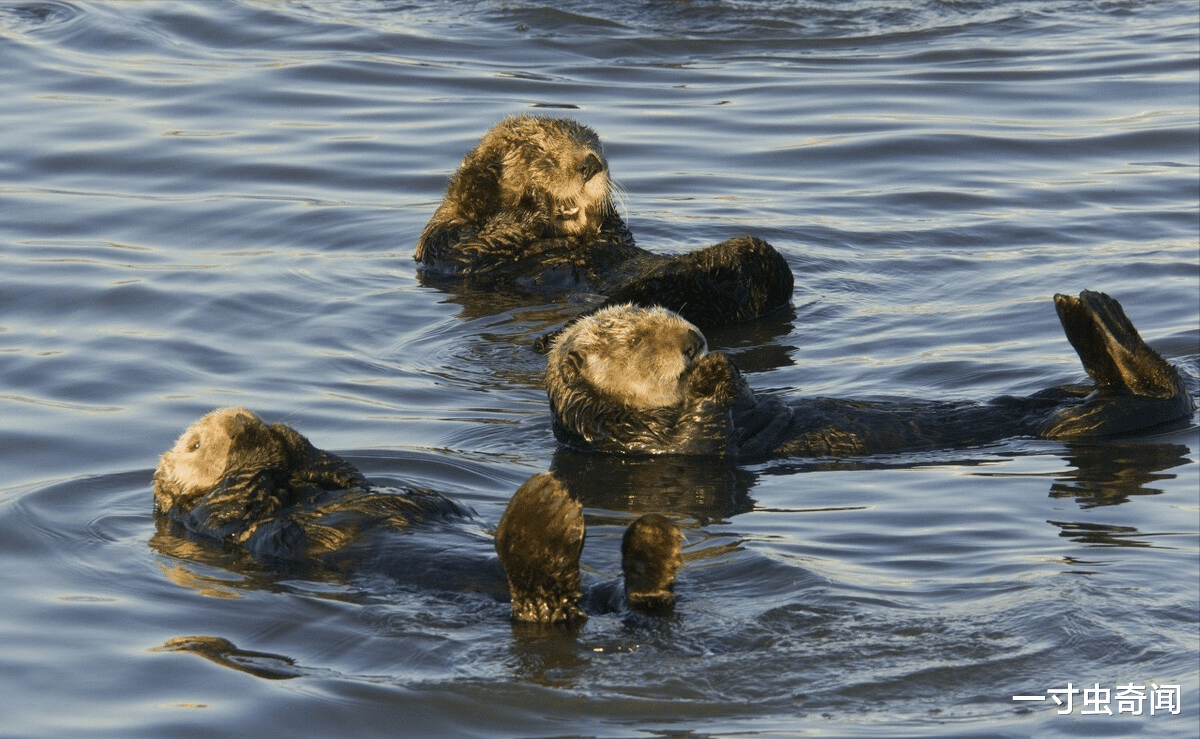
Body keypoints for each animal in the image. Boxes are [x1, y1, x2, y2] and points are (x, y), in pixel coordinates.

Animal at [157, 410, 686, 623]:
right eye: (195, 444)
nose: (241, 420)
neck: (291, 494)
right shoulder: (209, 517)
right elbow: (236, 493)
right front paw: (256, 441)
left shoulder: (332, 479)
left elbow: (342, 473)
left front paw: (281, 434)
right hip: (544, 597)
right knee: (546, 606)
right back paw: (545, 517)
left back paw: (653, 546)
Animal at [415, 115, 796, 328]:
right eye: (543, 154)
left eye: (595, 145)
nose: (591, 163)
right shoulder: (444, 245)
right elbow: (474, 240)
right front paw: (536, 204)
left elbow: (618, 234)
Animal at [549, 291, 1195, 458]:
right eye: (637, 340)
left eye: (679, 317)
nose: (696, 342)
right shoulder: (637, 441)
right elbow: (700, 439)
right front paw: (713, 375)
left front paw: (725, 366)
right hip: (1092, 423)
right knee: (1156, 393)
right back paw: (1091, 314)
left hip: (1069, 398)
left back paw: (1089, 309)